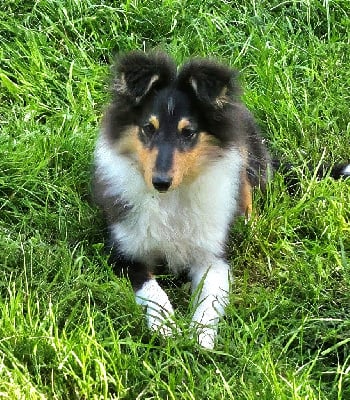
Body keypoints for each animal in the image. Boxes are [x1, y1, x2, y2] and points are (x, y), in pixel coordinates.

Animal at [93, 51, 350, 348]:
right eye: (148, 128)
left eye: (188, 132)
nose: (160, 182)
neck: (172, 199)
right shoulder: (125, 254)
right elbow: (153, 291)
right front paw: (167, 328)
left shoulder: (213, 255)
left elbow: (210, 298)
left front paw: (199, 338)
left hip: (246, 155)